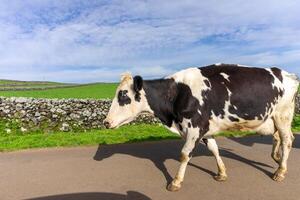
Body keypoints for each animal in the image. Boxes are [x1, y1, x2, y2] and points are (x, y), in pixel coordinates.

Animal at [102, 63, 298, 191]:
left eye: (123, 95)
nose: (105, 122)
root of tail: (286, 73)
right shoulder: (205, 128)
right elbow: (214, 149)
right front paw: (221, 173)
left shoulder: (195, 128)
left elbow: (184, 154)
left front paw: (176, 182)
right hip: (276, 119)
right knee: (280, 138)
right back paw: (276, 159)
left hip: (282, 115)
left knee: (287, 140)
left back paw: (280, 171)